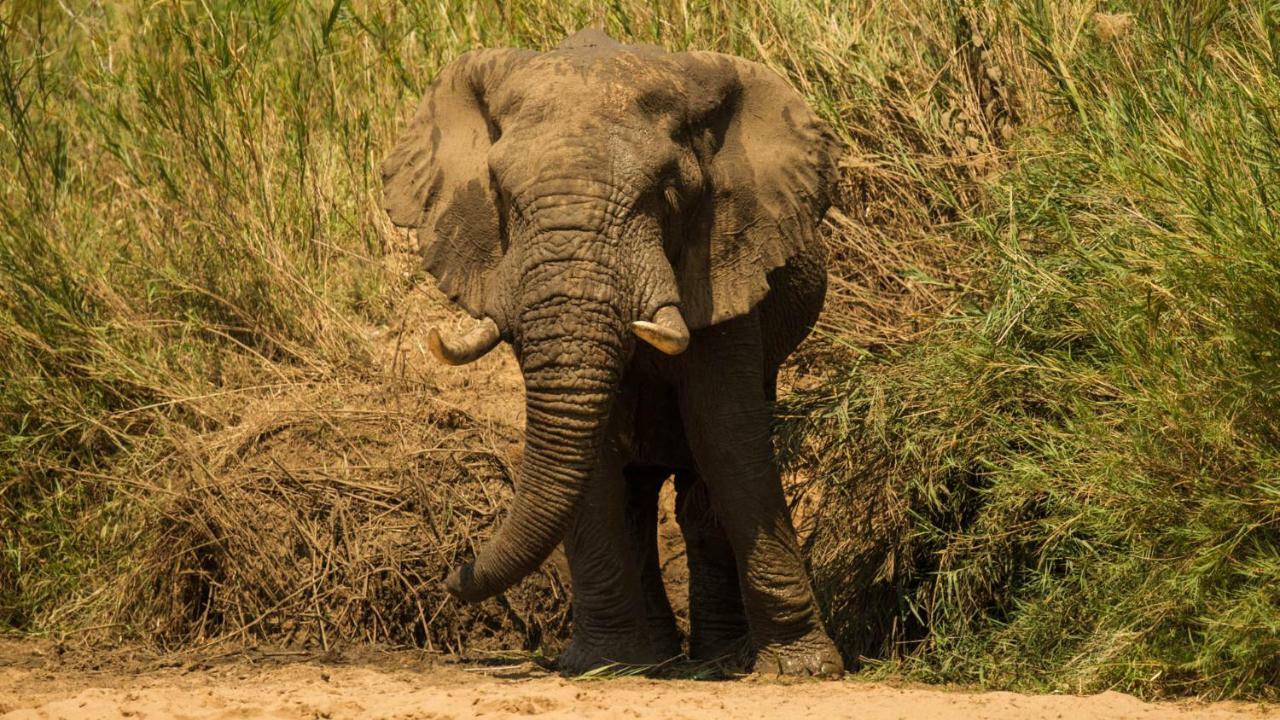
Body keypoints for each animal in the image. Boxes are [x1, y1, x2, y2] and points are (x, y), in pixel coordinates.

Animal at [384, 29, 844, 676]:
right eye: (500, 195)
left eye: (667, 193)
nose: (450, 578)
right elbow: (593, 452)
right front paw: (603, 663)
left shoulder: (724, 258)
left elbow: (727, 435)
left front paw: (804, 669)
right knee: (634, 495)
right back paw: (655, 657)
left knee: (697, 496)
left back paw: (719, 659)